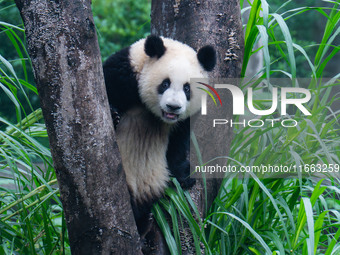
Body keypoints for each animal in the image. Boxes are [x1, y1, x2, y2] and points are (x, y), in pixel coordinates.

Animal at [102, 34, 216, 234]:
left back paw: (144, 222)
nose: (173, 106)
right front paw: (113, 114)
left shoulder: (183, 120)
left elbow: (178, 143)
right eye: (165, 83)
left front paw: (184, 175)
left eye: (187, 88)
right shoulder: (123, 74)